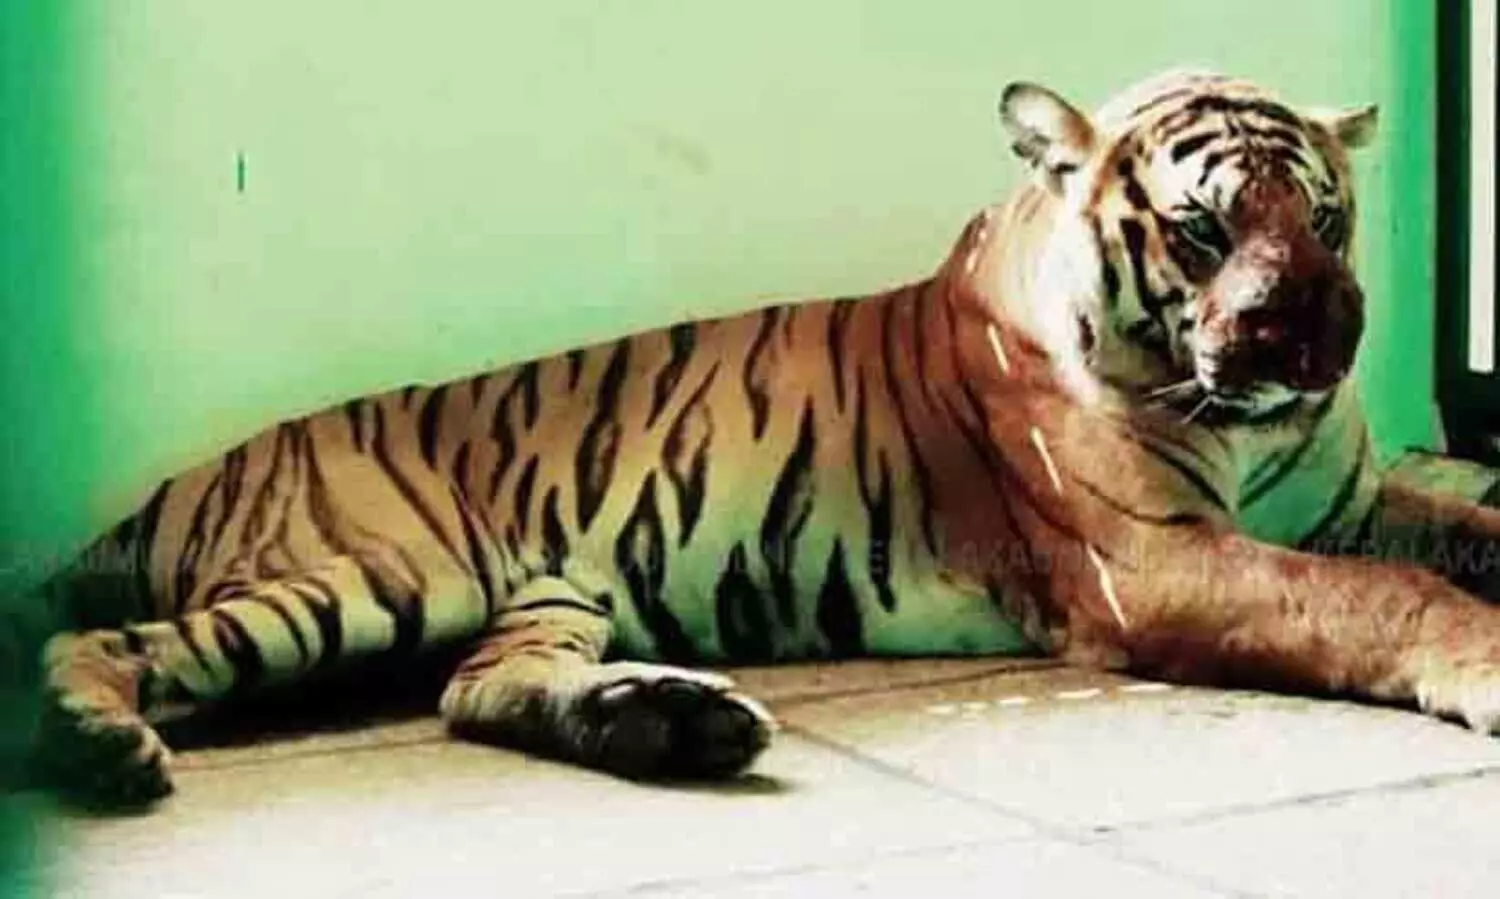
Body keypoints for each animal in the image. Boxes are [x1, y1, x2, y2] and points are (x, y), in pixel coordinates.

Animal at [18, 67, 1500, 809]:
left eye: (1326, 216)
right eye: (1199, 228)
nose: (1310, 340)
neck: (1251, 427)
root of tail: (174, 485)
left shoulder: (1350, 500)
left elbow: (1458, 528)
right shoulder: (1153, 563)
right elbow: (1380, 598)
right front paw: (1481, 663)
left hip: (540, 593)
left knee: (475, 690)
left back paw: (669, 721)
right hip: (372, 578)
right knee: (106, 646)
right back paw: (95, 747)